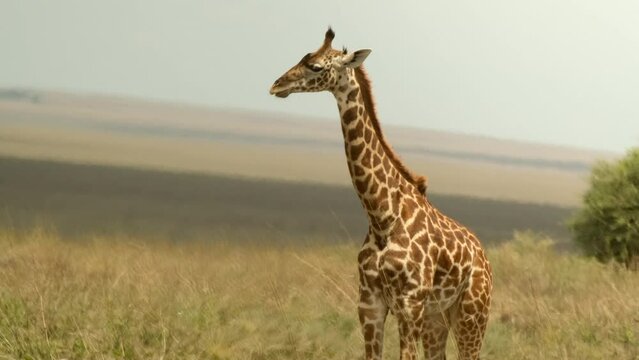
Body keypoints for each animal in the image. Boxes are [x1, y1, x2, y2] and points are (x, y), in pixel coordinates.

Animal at [268, 28, 492, 360]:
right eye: (302, 56)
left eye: (316, 67)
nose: (276, 85)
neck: (382, 215)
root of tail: (484, 257)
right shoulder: (369, 303)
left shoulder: (409, 306)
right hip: (437, 318)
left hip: (471, 314)